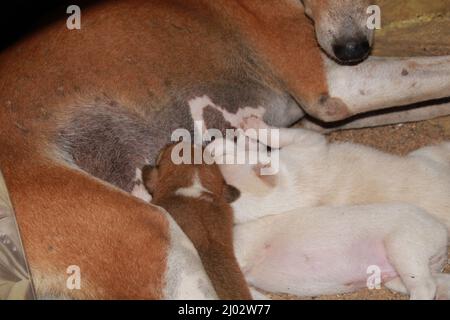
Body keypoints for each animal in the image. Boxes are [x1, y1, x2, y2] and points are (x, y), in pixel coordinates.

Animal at [216, 117, 448, 230]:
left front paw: (242, 133)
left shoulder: (307, 143)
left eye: (224, 157)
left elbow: (267, 139)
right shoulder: (308, 144)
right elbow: (274, 137)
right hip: (426, 155)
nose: (212, 146)